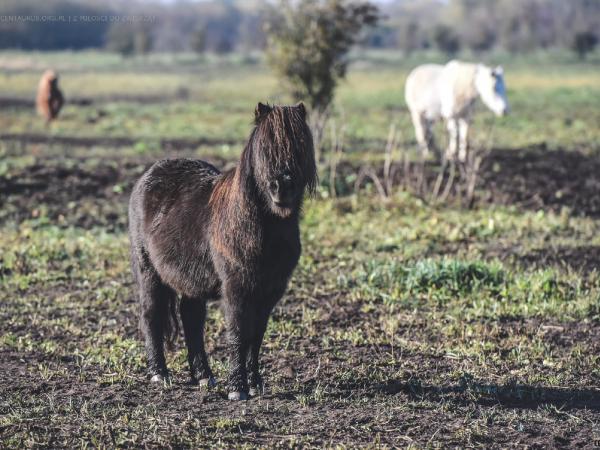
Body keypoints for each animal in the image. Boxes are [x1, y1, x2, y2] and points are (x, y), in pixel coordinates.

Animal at [129, 103, 316, 400]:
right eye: (264, 147)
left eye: (299, 144)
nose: (282, 187)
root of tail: (149, 175)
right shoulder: (236, 288)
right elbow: (238, 333)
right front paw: (238, 389)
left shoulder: (270, 291)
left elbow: (256, 336)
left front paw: (255, 383)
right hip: (148, 273)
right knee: (151, 316)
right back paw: (159, 374)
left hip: (190, 281)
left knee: (191, 320)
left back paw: (204, 376)